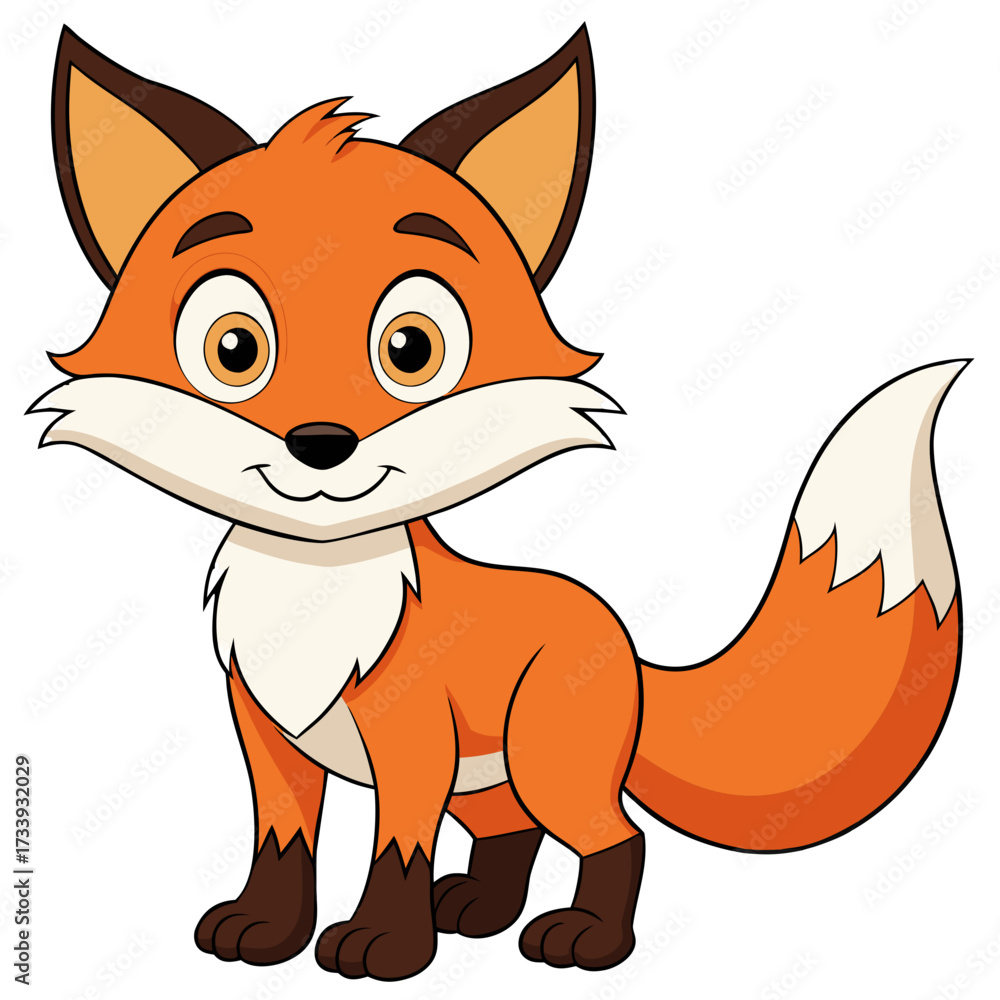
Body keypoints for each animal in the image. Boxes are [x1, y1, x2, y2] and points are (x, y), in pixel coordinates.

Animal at [32, 24, 965, 981]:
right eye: (234, 348)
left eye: (411, 348)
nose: (321, 442)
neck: (316, 595)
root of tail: (621, 639)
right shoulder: (267, 737)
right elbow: (282, 843)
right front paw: (266, 930)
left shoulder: (411, 744)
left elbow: (395, 848)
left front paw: (386, 946)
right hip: (492, 779)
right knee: (511, 834)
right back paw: (479, 912)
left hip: (547, 762)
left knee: (616, 838)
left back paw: (585, 939)